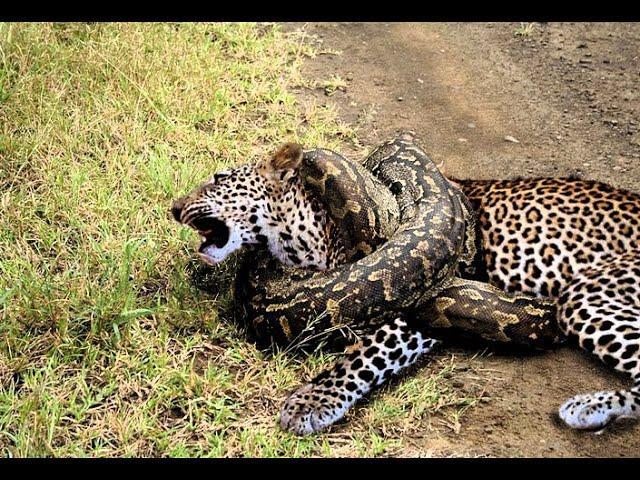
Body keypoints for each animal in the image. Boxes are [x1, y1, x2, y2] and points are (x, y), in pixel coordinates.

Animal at [172, 142, 640, 436]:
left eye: (218, 177)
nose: (175, 207)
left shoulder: (419, 291)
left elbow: (366, 351)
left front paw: (310, 403)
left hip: (586, 297)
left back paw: (586, 408)